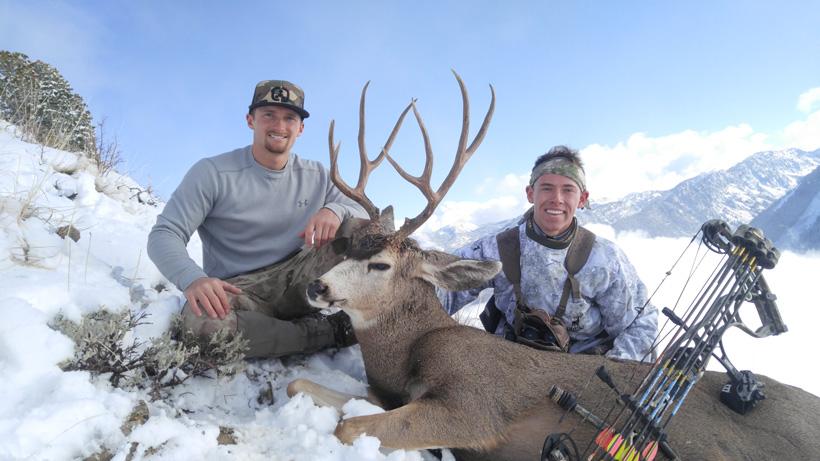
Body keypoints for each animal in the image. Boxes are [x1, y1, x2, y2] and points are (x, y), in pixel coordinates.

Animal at [286, 72, 820, 460]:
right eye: (346, 246)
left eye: (379, 264)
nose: (316, 287)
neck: (408, 355)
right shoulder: (388, 395)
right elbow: (300, 383)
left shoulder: (474, 407)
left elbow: (347, 427)